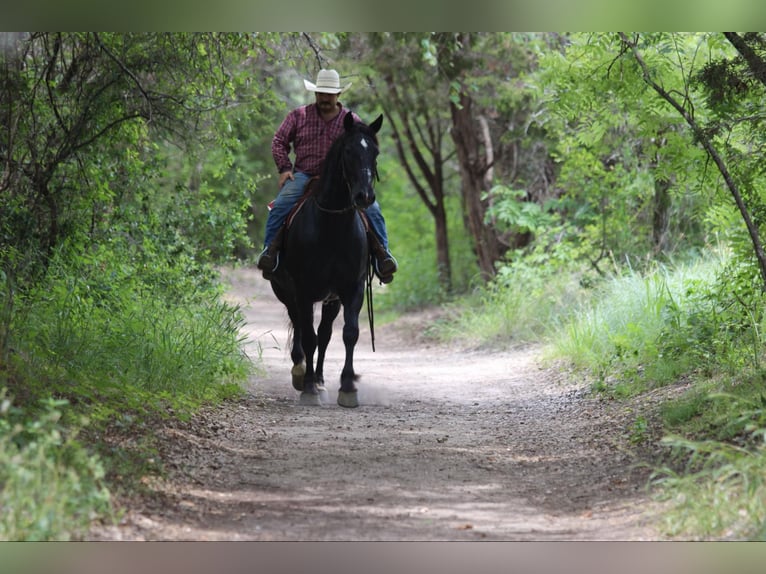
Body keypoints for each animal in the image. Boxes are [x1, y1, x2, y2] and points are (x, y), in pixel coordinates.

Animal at [269, 111, 384, 408]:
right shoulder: (303, 290)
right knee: (300, 327)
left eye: (375, 152)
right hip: (287, 293)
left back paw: (320, 380)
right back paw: (302, 374)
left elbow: (348, 333)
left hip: (331, 299)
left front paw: (348, 387)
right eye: (348, 151)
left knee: (325, 333)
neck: (331, 226)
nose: (365, 196)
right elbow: (308, 337)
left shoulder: (352, 288)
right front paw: (308, 388)